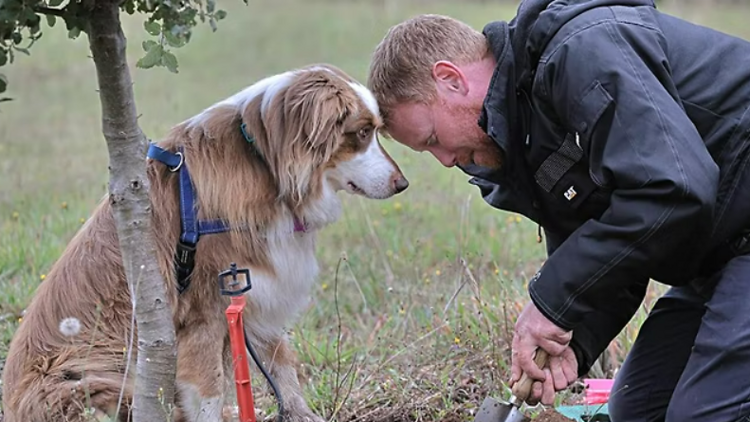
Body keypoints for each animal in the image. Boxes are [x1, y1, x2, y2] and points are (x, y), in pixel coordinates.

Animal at [1, 63, 412, 422]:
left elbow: (281, 362)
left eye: (376, 130)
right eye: (362, 133)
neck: (264, 165)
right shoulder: (204, 313)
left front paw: (302, 415)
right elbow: (211, 390)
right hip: (89, 380)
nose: (402, 183)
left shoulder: (257, 289)